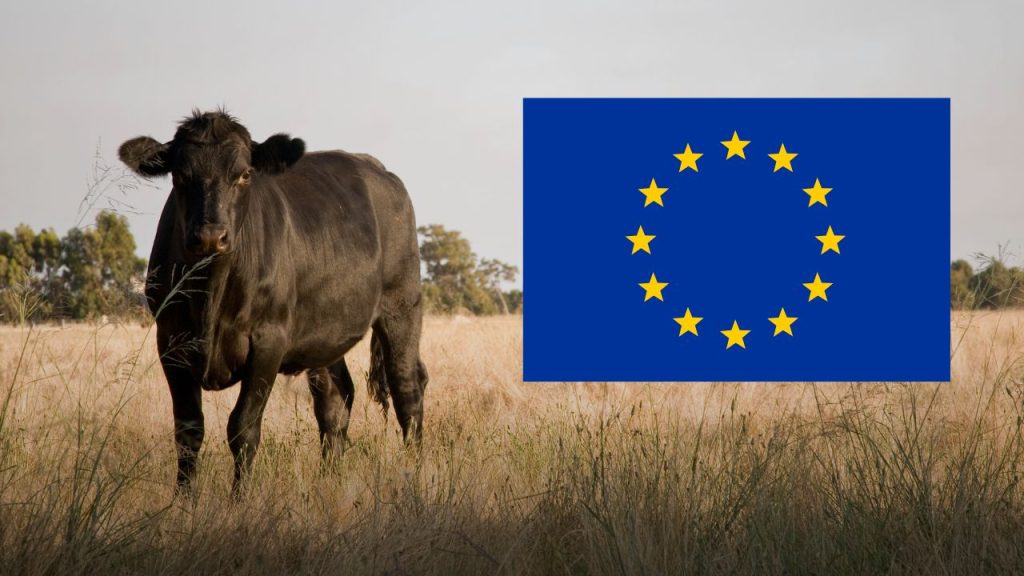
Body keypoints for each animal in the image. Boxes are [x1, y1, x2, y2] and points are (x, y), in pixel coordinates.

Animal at [118, 110, 428, 494]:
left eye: (244, 174)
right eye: (180, 175)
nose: (210, 236)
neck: (212, 293)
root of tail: (378, 169)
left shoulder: (268, 342)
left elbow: (243, 428)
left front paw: (240, 499)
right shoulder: (171, 342)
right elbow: (188, 432)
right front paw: (183, 500)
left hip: (402, 305)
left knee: (407, 390)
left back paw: (413, 477)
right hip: (325, 334)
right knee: (335, 400)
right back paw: (328, 482)